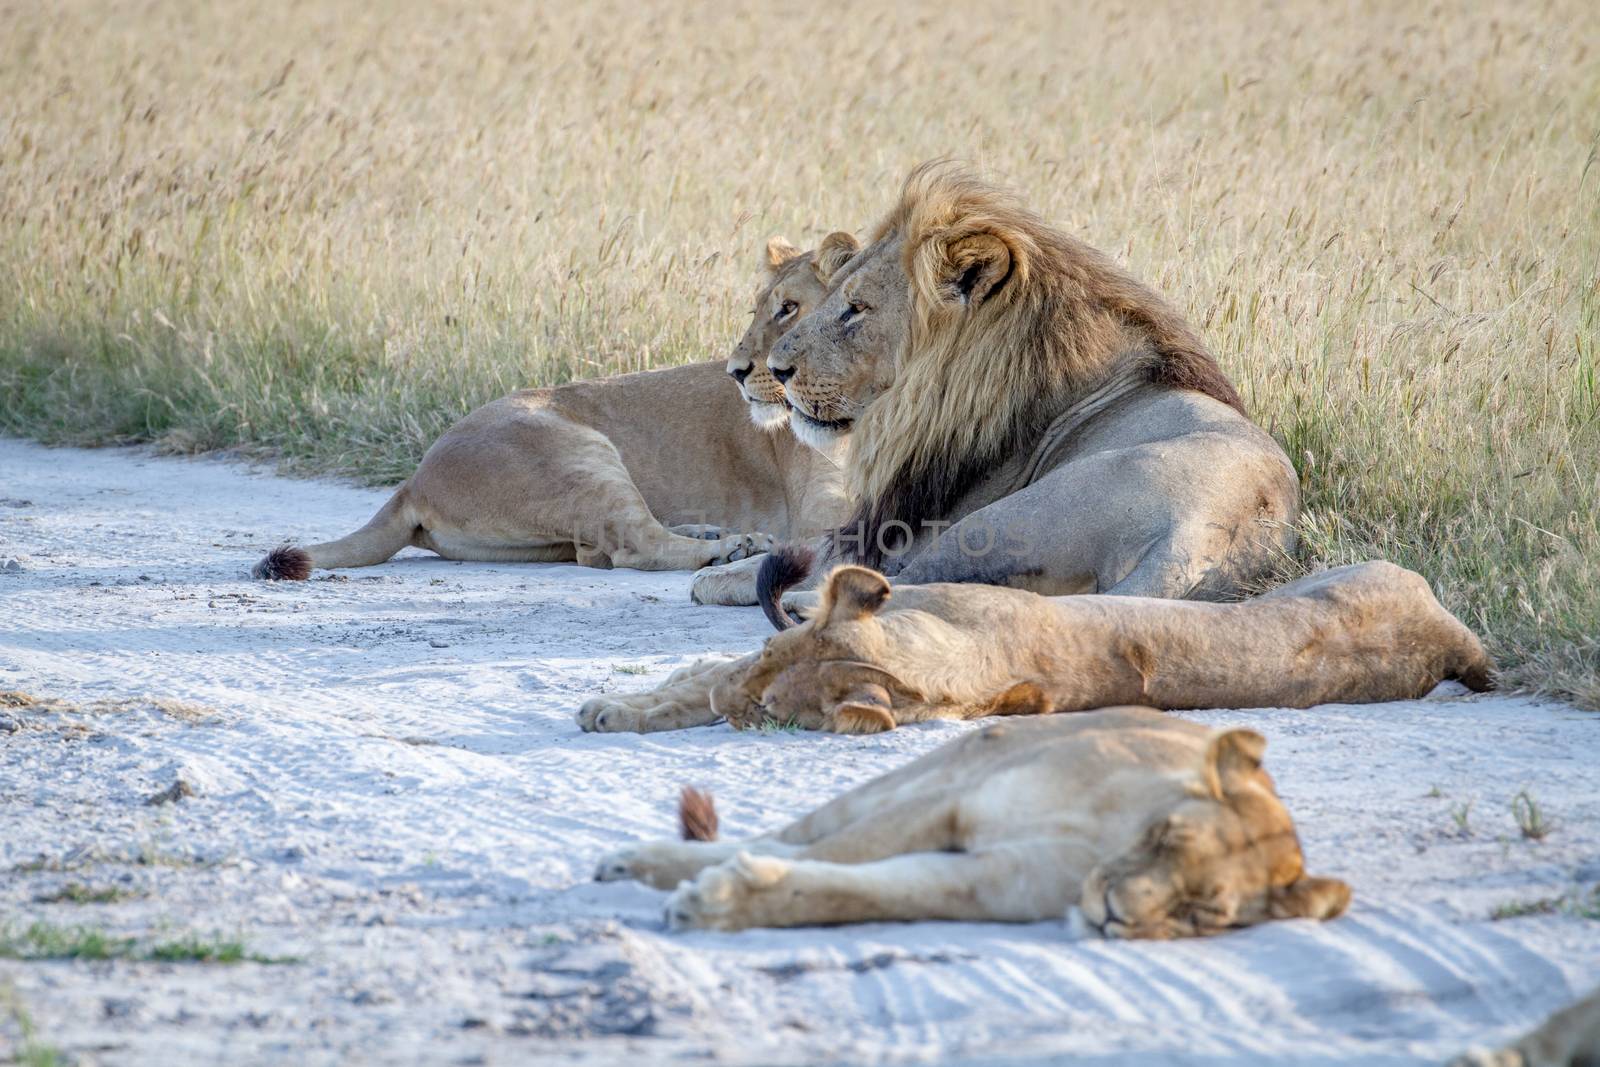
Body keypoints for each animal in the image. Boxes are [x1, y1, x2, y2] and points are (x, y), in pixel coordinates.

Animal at [595, 710, 1356, 934]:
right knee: (794, 832)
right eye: (1167, 837)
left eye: (1202, 911)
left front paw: (726, 903)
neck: (1107, 843)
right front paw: (706, 890)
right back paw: (635, 862)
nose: (1114, 912)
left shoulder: (993, 882)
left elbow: (853, 890)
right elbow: (837, 854)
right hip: (929, 769)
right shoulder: (954, 803)